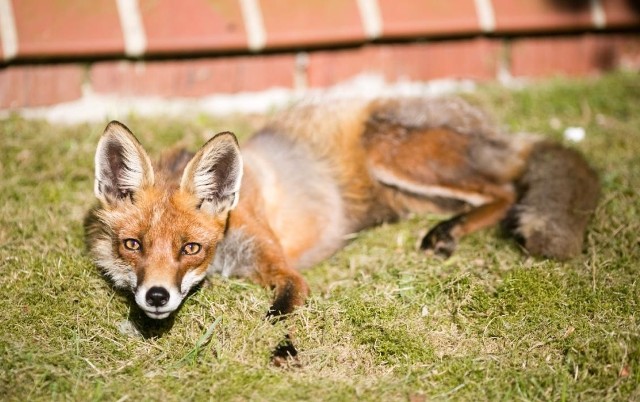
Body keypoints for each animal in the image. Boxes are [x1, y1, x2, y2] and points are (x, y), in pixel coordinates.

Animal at [85, 97, 600, 364]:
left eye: (191, 247)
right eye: (133, 246)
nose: (156, 296)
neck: (224, 258)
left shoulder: (284, 270)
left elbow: (278, 313)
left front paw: (283, 348)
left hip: (391, 150)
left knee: (507, 191)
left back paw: (448, 232)